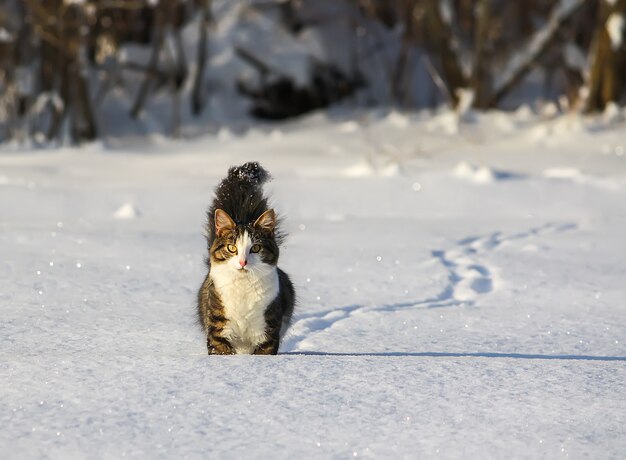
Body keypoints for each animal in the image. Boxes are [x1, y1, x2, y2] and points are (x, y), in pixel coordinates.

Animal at [196, 163, 294, 356]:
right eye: (232, 248)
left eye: (255, 248)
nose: (243, 262)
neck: (243, 287)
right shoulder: (218, 329)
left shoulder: (267, 331)